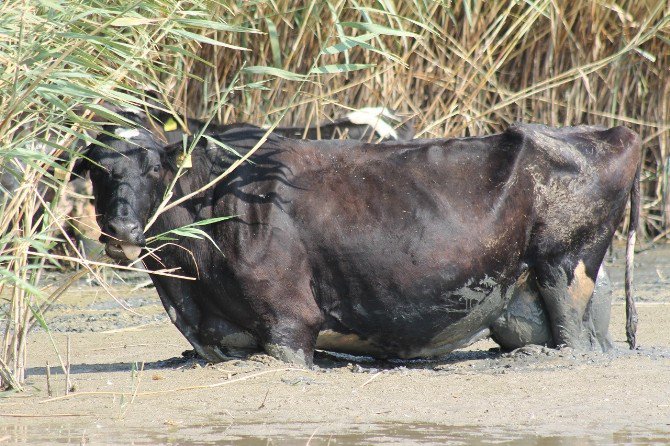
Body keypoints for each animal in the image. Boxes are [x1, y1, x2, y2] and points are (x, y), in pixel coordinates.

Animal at [75, 123, 644, 364]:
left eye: (155, 167)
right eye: (97, 171)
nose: (121, 231)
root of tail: (615, 131)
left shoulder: (289, 324)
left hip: (562, 267)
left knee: (573, 338)